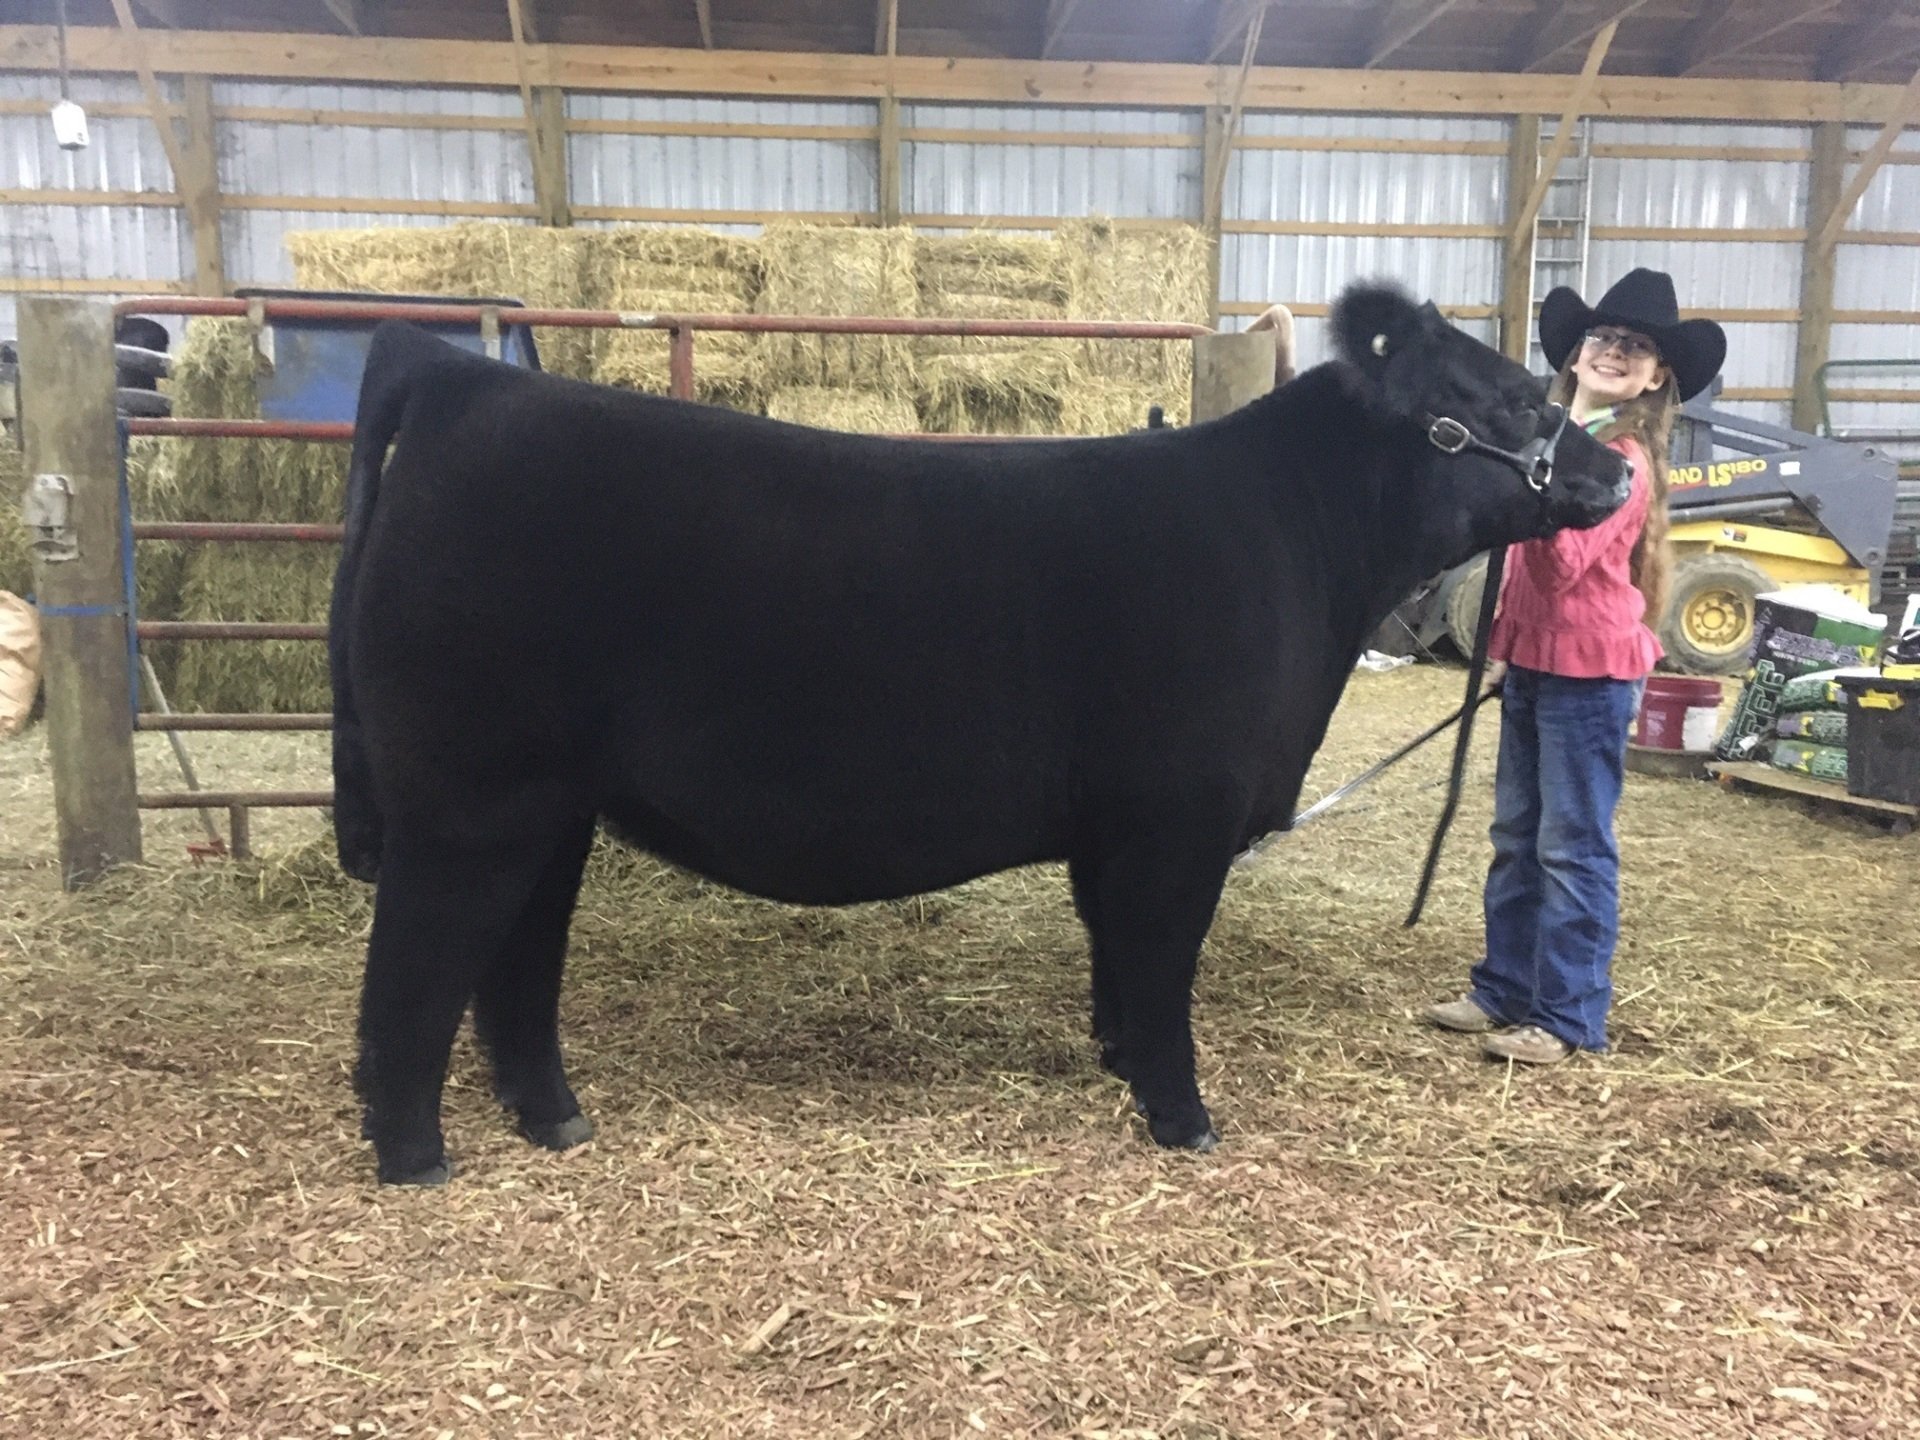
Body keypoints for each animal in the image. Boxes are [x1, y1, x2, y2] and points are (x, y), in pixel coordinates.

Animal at [331, 283, 1629, 1185]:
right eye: (1516, 399)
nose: (1616, 473)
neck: (1298, 540)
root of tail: (461, 378)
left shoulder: (1119, 829)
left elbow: (1117, 959)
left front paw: (1117, 1062)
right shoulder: (1181, 819)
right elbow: (1163, 964)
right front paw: (1183, 1119)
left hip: (549, 805)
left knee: (515, 965)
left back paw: (553, 1118)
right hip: (468, 801)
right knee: (413, 967)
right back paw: (415, 1157)